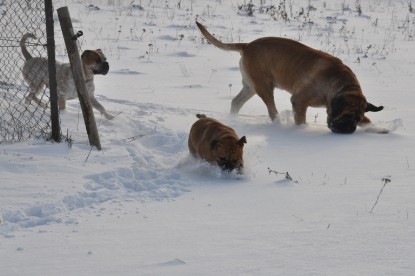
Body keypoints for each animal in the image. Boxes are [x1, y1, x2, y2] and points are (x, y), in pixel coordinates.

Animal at [197, 21, 386, 134]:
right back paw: (278, 125)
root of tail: (247, 45)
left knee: (236, 102)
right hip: (264, 86)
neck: (337, 84)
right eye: (344, 113)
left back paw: (233, 119)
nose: (348, 128)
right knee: (271, 110)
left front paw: (380, 129)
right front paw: (301, 130)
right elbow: (300, 120)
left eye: (357, 118)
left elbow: (369, 121)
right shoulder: (299, 101)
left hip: (250, 87)